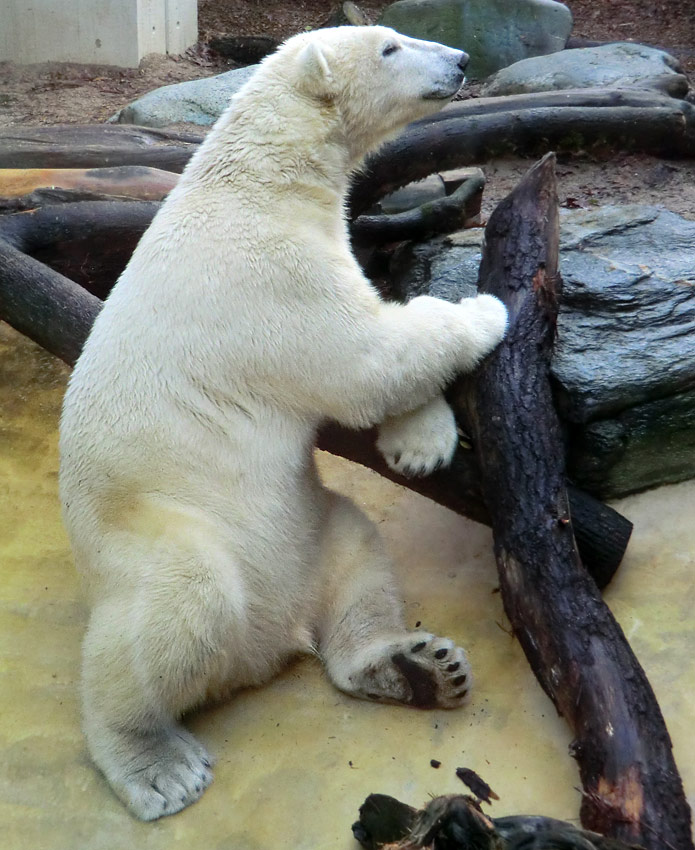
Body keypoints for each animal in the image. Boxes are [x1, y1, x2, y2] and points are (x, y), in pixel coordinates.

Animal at [58, 26, 506, 820]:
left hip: (311, 532)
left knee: (359, 553)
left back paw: (413, 666)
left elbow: (375, 354)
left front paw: (418, 445)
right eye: (391, 47)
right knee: (176, 606)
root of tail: (266, 647)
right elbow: (362, 358)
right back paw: (156, 764)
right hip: (151, 533)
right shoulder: (265, 272)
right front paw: (485, 309)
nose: (458, 61)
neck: (253, 181)